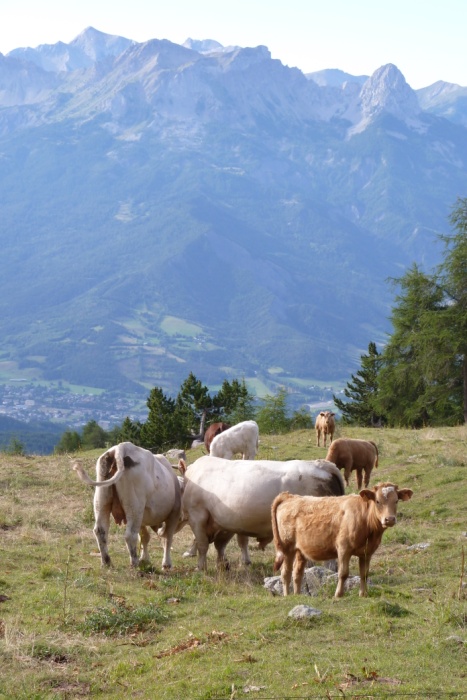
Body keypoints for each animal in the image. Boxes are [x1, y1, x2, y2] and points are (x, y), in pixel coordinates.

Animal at [181, 456, 346, 572]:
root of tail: (322, 465)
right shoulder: (225, 521)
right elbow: (221, 545)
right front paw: (222, 565)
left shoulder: (197, 516)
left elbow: (202, 544)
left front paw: (200, 567)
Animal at [270, 484, 414, 600]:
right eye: (377, 501)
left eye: (396, 501)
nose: (389, 519)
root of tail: (290, 496)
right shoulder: (344, 548)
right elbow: (343, 573)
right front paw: (338, 594)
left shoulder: (367, 552)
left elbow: (364, 574)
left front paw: (363, 594)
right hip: (287, 547)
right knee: (286, 573)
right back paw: (287, 596)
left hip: (301, 550)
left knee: (297, 573)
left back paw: (298, 595)